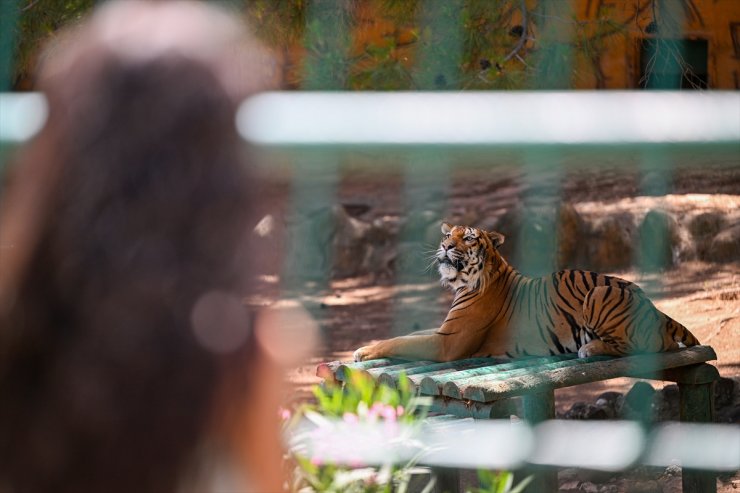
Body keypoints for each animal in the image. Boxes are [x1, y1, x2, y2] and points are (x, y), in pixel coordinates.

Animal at [352, 223, 700, 362]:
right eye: (448, 236)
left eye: (468, 238)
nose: (446, 246)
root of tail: (657, 310)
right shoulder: (442, 332)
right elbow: (408, 334)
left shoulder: (447, 344)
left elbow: (400, 341)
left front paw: (362, 351)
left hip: (598, 292)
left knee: (641, 348)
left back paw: (589, 349)